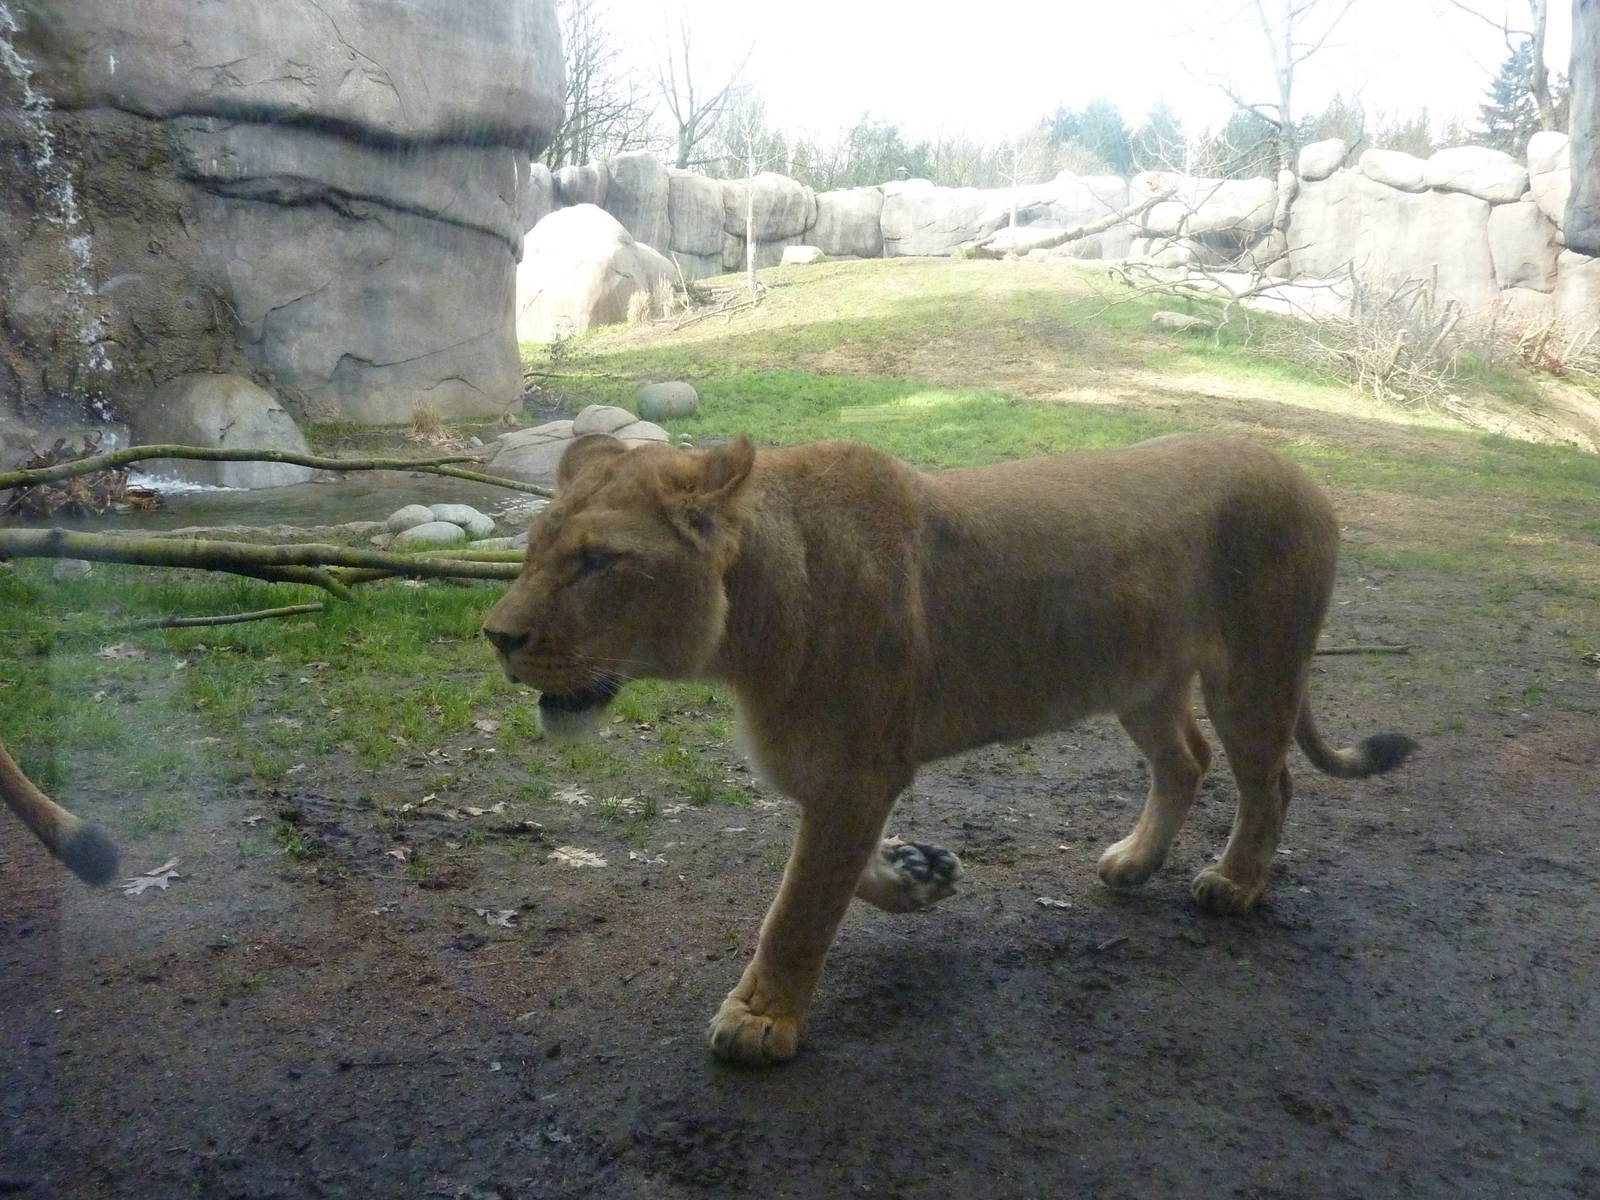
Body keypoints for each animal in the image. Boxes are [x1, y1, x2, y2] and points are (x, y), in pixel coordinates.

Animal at [482, 432, 1415, 1066]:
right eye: (531, 553)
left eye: (597, 561)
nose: (496, 636)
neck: (748, 628)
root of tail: (1296, 468)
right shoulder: (835, 776)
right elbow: (833, 877)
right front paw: (921, 876)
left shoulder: (859, 772)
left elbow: (798, 906)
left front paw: (761, 1021)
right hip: (1142, 679)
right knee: (1187, 759)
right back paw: (1134, 862)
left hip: (1256, 671)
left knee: (1271, 783)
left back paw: (1235, 884)